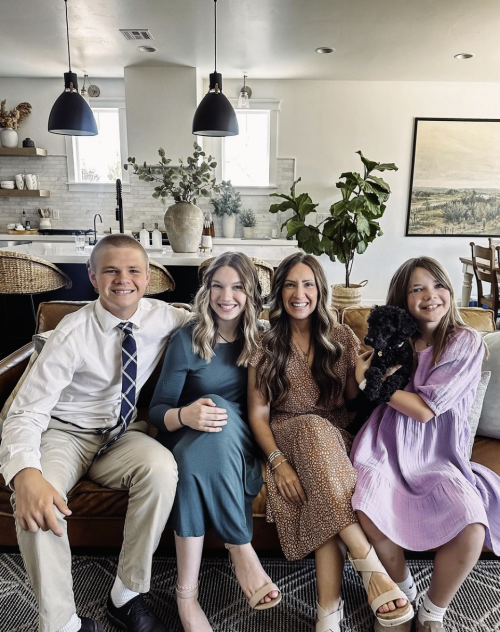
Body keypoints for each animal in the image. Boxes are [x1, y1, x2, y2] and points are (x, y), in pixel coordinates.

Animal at [346, 304, 416, 434]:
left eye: (386, 327)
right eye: (370, 323)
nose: (368, 339)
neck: (389, 351)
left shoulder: (405, 374)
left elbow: (395, 378)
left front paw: (383, 393)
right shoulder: (372, 365)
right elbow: (375, 372)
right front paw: (373, 390)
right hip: (363, 402)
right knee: (360, 412)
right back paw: (352, 427)